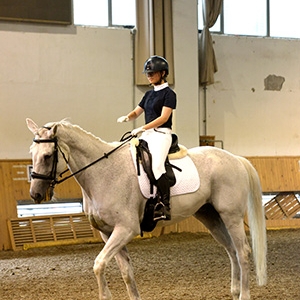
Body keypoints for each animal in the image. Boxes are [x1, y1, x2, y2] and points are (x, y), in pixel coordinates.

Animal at [25, 118, 266, 300]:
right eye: (31, 153)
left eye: (47, 155)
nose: (36, 195)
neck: (103, 172)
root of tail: (235, 158)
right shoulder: (107, 233)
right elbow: (126, 272)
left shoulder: (126, 229)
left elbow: (99, 264)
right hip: (210, 216)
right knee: (231, 250)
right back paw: (234, 291)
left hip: (231, 216)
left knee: (243, 251)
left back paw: (243, 295)